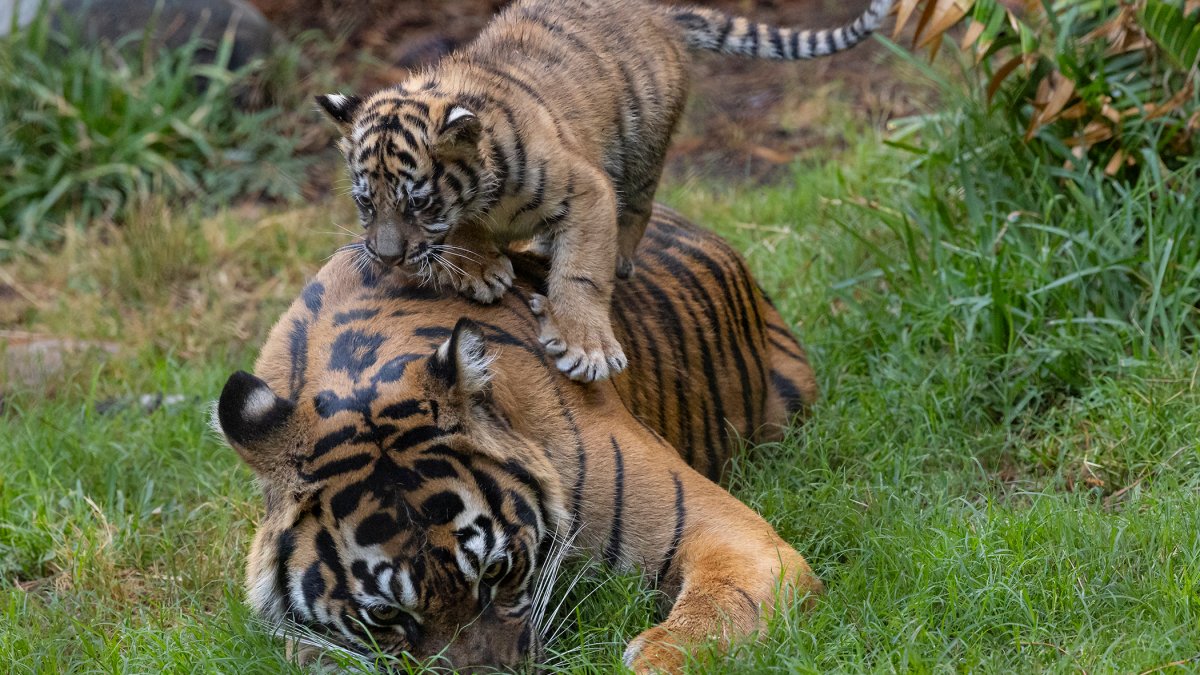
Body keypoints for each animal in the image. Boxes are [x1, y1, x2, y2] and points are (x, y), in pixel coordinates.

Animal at [314, 0, 897, 381]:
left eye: (420, 203)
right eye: (365, 203)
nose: (386, 257)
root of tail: (655, 12)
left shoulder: (585, 191)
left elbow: (581, 273)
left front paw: (585, 345)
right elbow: (466, 235)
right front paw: (478, 267)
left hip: (643, 147)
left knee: (637, 207)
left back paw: (615, 256)